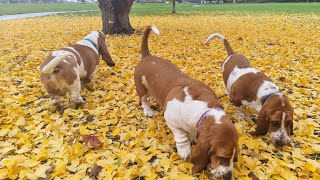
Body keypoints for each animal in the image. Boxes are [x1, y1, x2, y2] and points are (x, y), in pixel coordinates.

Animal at [134, 26, 239, 179]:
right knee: (143, 100)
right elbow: (182, 136)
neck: (205, 112)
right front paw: (185, 151)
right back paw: (148, 110)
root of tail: (147, 56)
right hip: (141, 88)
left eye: (234, 157)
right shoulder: (172, 120)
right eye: (222, 157)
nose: (228, 176)